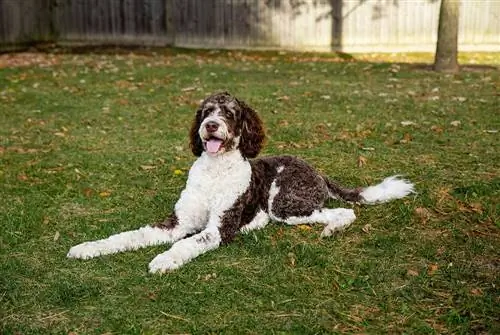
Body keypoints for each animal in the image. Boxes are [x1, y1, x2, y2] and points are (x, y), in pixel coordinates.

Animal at [68, 91, 416, 272]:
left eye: (230, 113)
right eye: (206, 111)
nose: (210, 125)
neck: (214, 172)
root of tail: (316, 170)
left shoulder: (219, 228)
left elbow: (187, 243)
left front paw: (165, 259)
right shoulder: (176, 223)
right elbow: (128, 235)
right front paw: (89, 247)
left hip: (284, 204)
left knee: (343, 212)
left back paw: (331, 229)